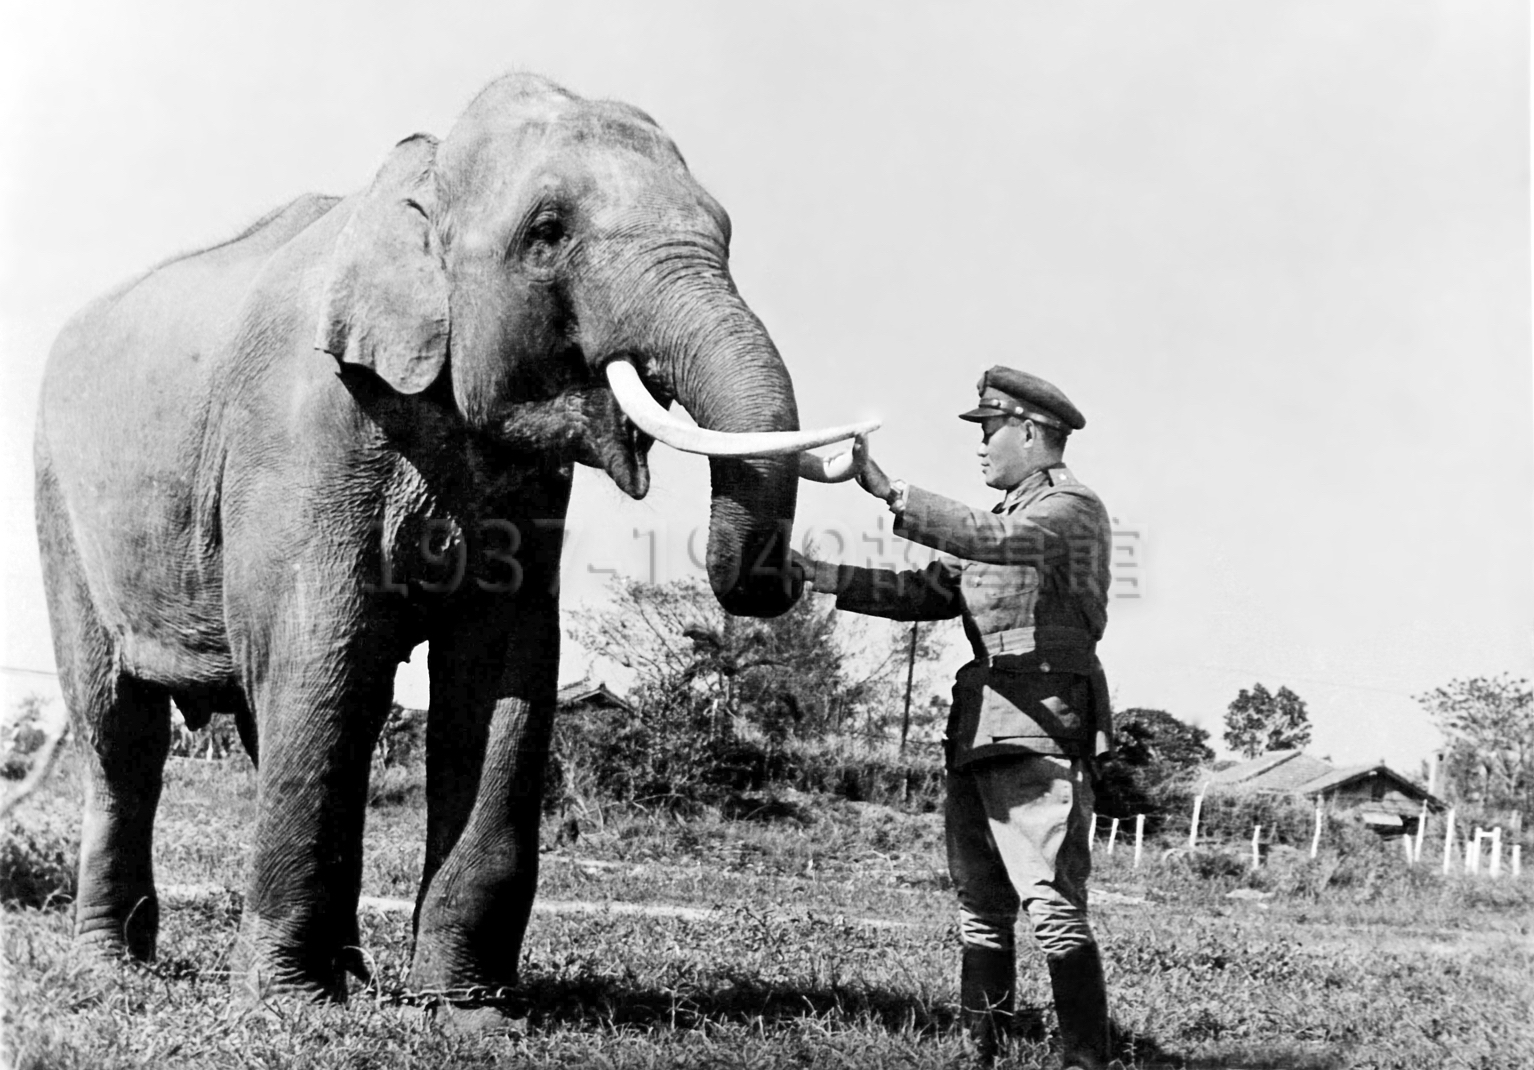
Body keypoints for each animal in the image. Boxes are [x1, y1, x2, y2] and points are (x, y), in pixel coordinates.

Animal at [36, 72, 871, 1005]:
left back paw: (347, 972)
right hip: (59, 504)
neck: (423, 184)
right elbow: (323, 653)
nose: (796, 572)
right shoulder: (301, 434)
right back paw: (113, 971)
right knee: (124, 732)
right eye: (548, 232)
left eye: (725, 231)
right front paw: (288, 1007)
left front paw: (463, 1011)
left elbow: (499, 669)